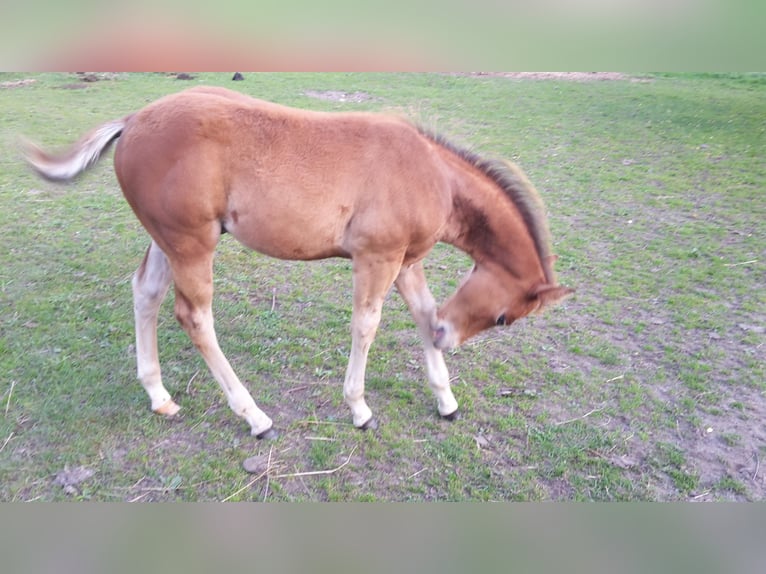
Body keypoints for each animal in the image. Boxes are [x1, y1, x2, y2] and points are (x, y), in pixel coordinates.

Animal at [22, 85, 576, 438]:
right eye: (503, 318)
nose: (449, 339)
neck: (430, 172)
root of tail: (132, 120)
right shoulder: (376, 257)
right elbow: (366, 325)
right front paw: (359, 409)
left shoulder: (406, 260)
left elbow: (422, 312)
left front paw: (446, 401)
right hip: (192, 244)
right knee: (194, 315)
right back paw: (255, 417)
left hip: (167, 240)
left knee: (146, 293)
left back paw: (160, 396)